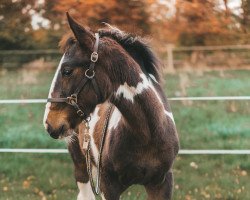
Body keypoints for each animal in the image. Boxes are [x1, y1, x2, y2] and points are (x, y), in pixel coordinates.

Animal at [43, 12, 180, 200]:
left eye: (67, 71)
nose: (49, 123)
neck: (147, 133)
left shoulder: (162, 183)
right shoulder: (108, 186)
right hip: (81, 166)